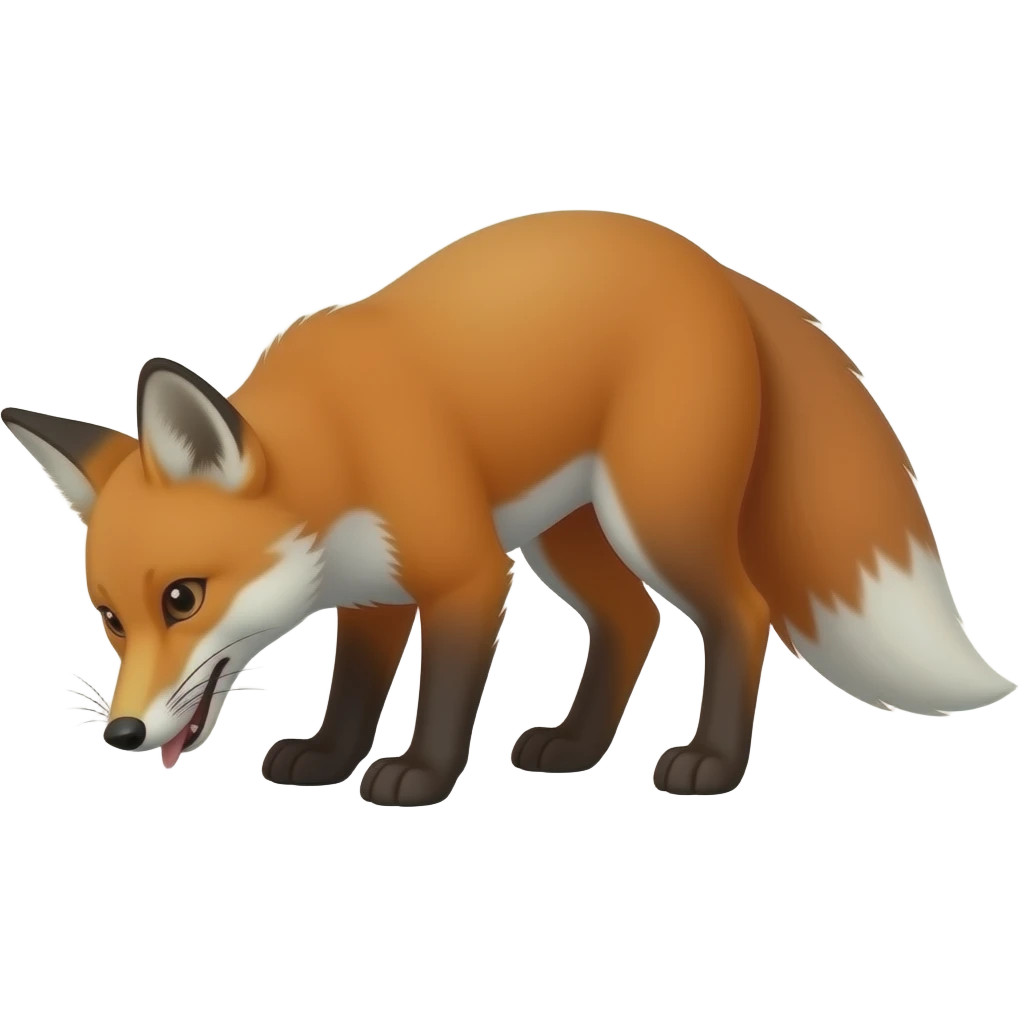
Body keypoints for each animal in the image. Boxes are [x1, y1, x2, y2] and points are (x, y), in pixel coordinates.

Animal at [5, 209, 1014, 805]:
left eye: (183, 597)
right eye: (110, 618)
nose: (124, 732)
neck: (342, 445)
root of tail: (707, 263)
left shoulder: (467, 573)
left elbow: (445, 693)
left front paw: (419, 774)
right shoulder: (371, 590)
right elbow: (355, 691)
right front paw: (327, 760)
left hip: (655, 519)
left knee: (741, 611)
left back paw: (713, 765)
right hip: (570, 535)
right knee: (633, 621)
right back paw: (574, 747)